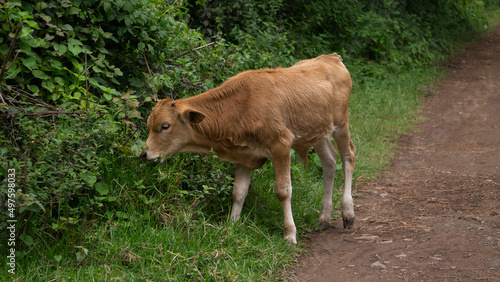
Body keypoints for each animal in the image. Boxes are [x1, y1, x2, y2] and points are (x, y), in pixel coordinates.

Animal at [141, 54, 356, 243]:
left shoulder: (281, 145)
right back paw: (324, 218)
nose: (144, 154)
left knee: (348, 157)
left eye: (165, 126)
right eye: (149, 125)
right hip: (317, 132)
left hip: (341, 123)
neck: (242, 107)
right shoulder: (243, 154)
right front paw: (232, 226)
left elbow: (283, 190)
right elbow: (238, 192)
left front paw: (289, 234)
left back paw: (348, 212)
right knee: (329, 161)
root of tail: (331, 57)